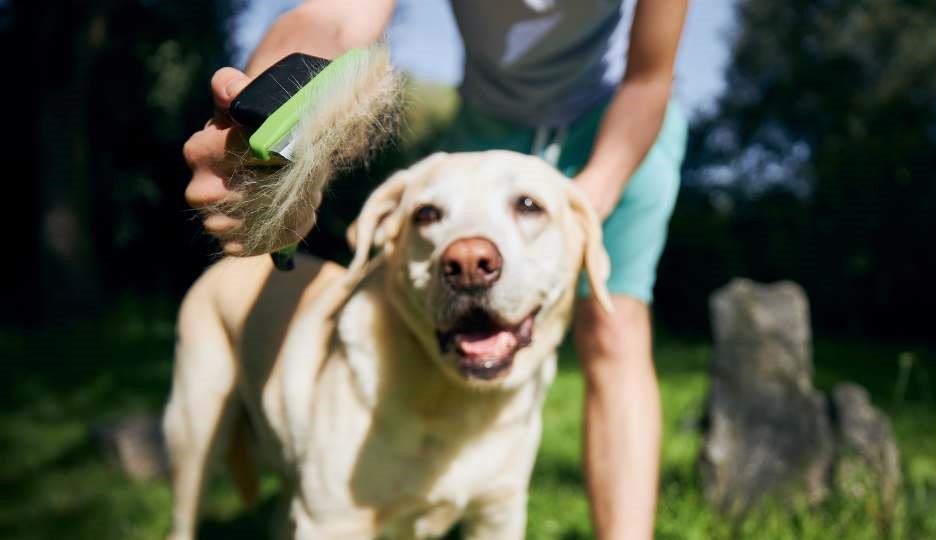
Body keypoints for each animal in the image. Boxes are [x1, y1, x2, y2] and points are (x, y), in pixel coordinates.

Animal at [165, 151, 612, 540]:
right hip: (195, 434)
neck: (455, 401)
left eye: (528, 205)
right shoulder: (331, 522)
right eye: (426, 214)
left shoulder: (498, 514)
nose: (468, 263)